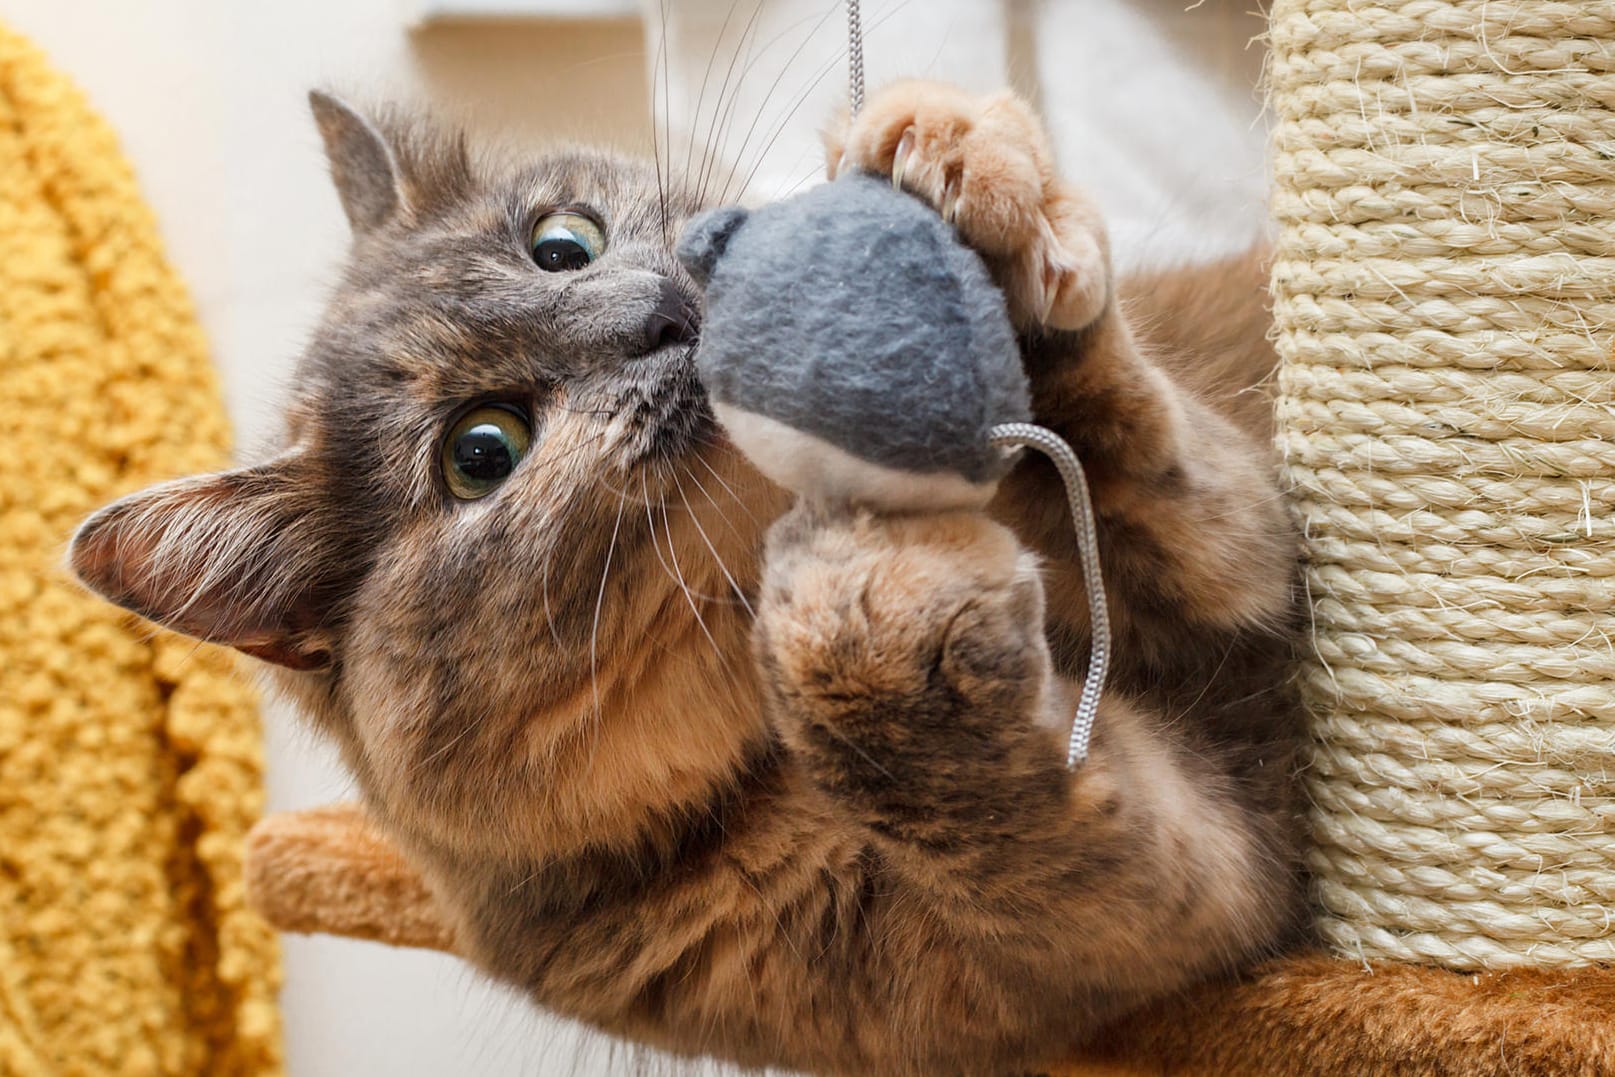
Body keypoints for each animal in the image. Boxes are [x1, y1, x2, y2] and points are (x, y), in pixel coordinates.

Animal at [78, 79, 1311, 1072]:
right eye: (480, 451)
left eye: (561, 243)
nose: (665, 315)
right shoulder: (1108, 926)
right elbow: (1004, 810)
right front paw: (860, 616)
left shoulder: (1242, 543)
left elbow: (1162, 472)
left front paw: (954, 164)